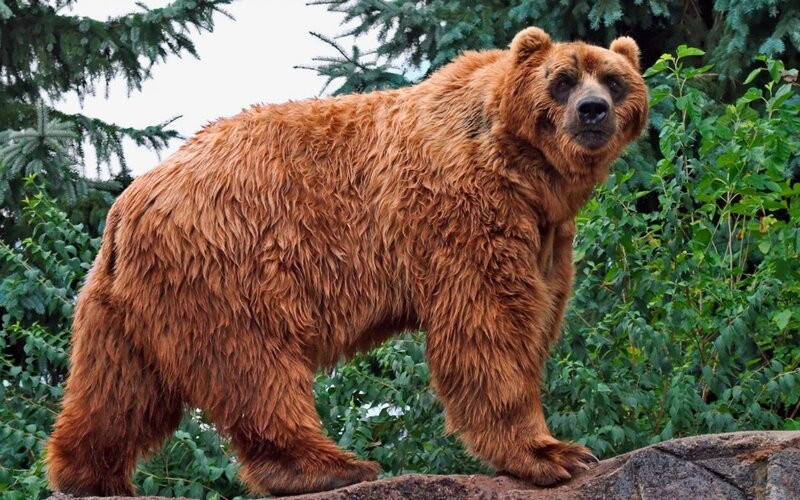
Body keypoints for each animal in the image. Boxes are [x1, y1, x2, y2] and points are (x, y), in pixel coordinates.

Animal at [46, 27, 648, 496]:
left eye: (614, 80)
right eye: (562, 80)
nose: (592, 110)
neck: (525, 169)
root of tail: (128, 205)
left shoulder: (546, 231)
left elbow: (538, 309)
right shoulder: (463, 208)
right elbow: (489, 323)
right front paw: (554, 453)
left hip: (128, 301)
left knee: (121, 387)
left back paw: (89, 475)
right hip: (229, 259)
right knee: (255, 365)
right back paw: (329, 466)